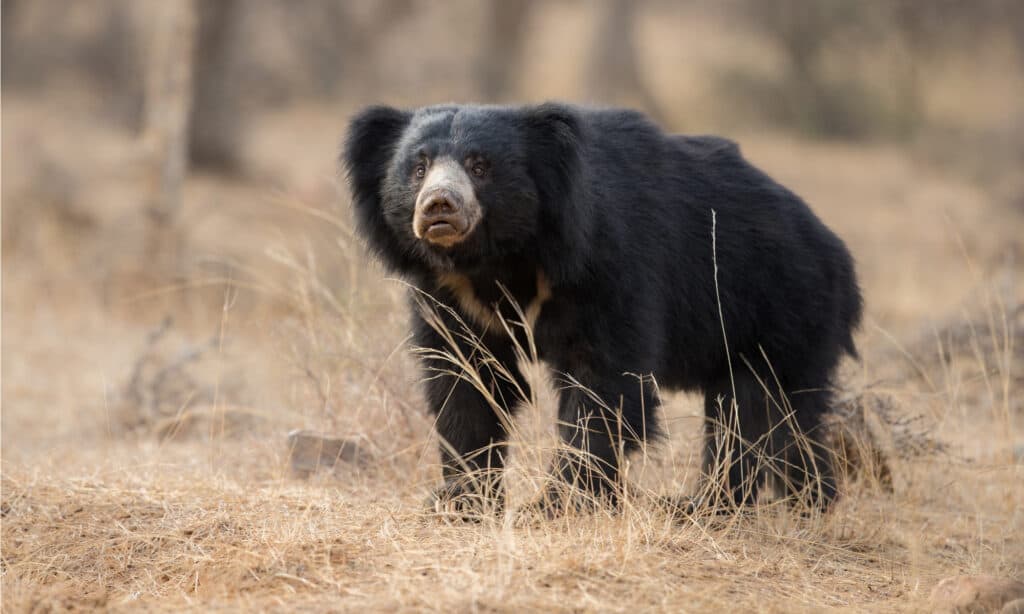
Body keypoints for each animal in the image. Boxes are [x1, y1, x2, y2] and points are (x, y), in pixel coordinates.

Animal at [344, 103, 864, 515]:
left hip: (779, 306)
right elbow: (466, 379)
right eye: (417, 168)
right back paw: (805, 499)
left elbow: (604, 382)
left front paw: (558, 504)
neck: (499, 259)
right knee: (777, 417)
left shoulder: (607, 265)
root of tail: (836, 252)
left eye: (480, 166)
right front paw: (459, 499)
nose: (439, 206)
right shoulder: (451, 297)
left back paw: (713, 505)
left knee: (756, 410)